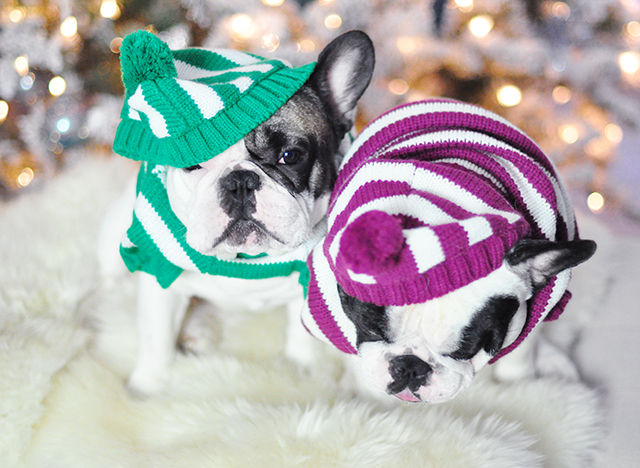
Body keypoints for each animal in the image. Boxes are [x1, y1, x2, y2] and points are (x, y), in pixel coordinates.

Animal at [99, 28, 376, 394]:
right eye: (192, 163)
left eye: (290, 156)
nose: (240, 181)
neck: (249, 259)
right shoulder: (160, 277)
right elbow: (155, 339)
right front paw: (145, 389)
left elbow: (304, 330)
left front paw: (301, 370)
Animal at [302, 100, 596, 404]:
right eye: (369, 329)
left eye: (466, 350)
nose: (410, 367)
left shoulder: (532, 310)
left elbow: (520, 354)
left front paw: (518, 383)